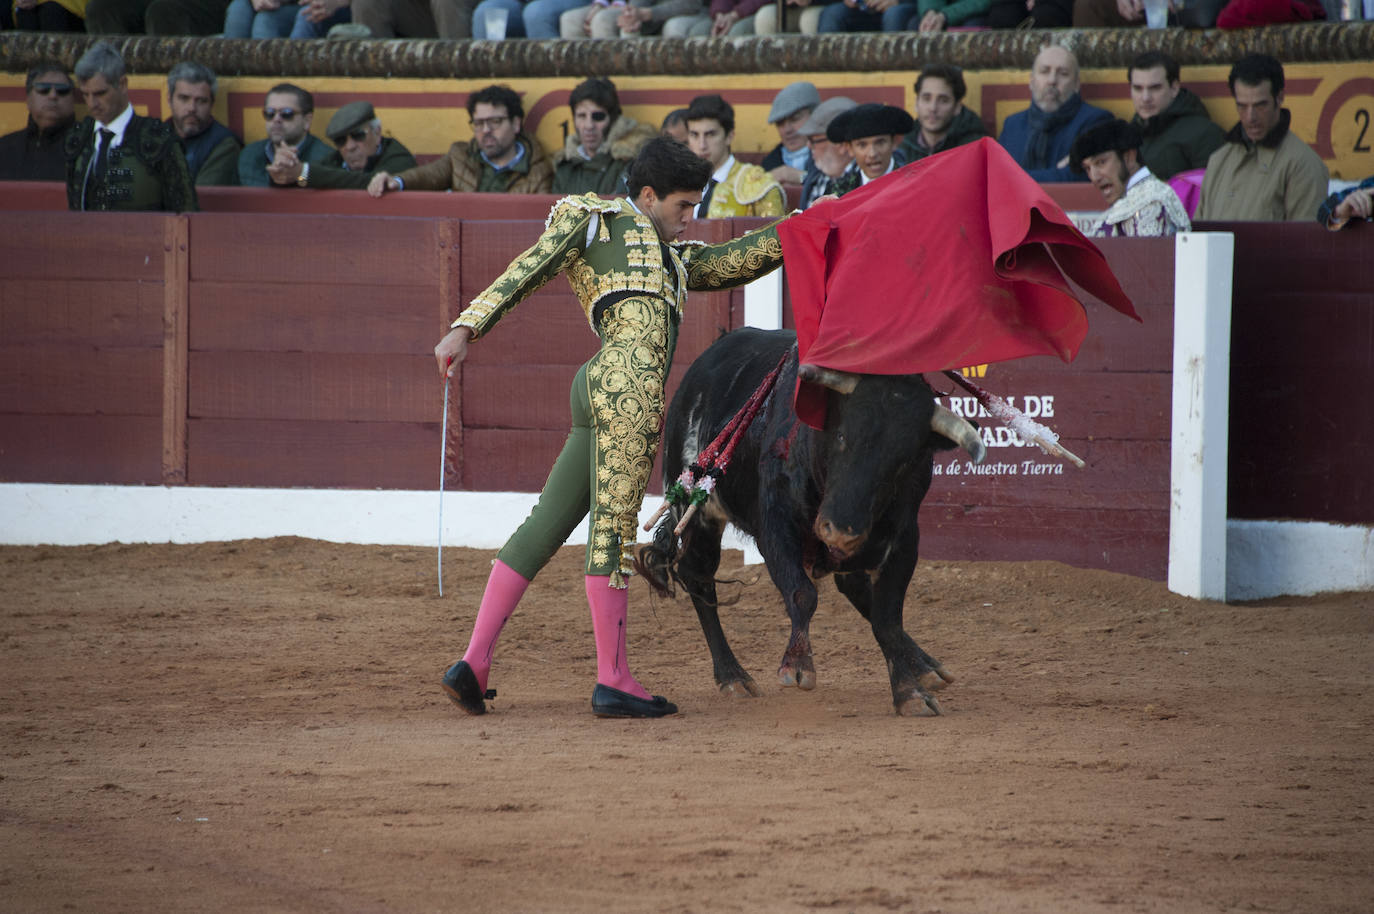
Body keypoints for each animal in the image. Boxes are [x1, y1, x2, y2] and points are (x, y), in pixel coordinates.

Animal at [637, 325, 983, 714]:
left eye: (905, 460)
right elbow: (802, 593)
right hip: (699, 511)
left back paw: (925, 666)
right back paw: (733, 676)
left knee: (855, 588)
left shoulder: (905, 539)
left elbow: (887, 617)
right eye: (843, 436)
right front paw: (797, 665)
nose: (841, 530)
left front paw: (910, 691)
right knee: (697, 576)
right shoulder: (775, 529)